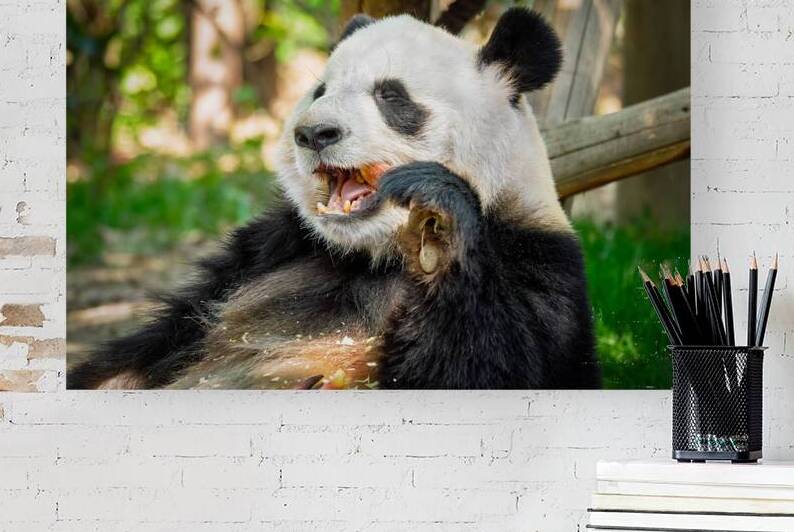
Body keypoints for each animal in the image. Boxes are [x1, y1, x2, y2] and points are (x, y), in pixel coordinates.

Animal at [69, 7, 601, 390]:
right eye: (319, 91)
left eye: (391, 95)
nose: (314, 133)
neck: (371, 253)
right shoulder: (267, 250)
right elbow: (152, 349)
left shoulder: (539, 267)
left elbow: (493, 366)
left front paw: (440, 225)